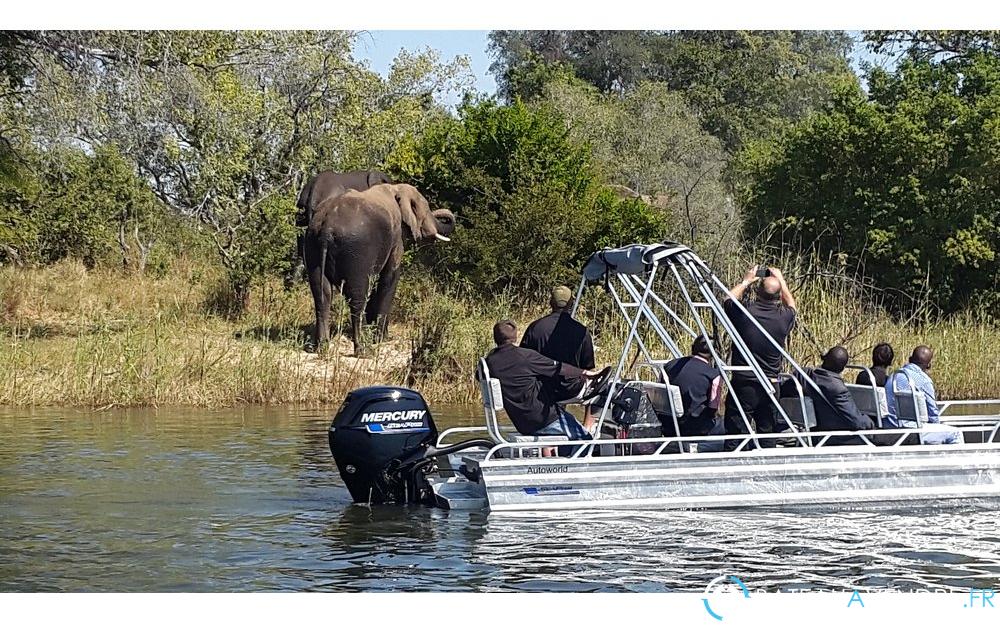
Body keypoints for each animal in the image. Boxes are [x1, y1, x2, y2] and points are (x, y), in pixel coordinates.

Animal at [302, 183, 456, 354]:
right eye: (427, 208)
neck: (397, 189)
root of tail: (326, 228)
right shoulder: (397, 236)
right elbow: (389, 278)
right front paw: (382, 339)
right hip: (357, 251)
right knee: (357, 297)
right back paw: (364, 350)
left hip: (312, 244)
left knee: (322, 295)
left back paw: (321, 348)